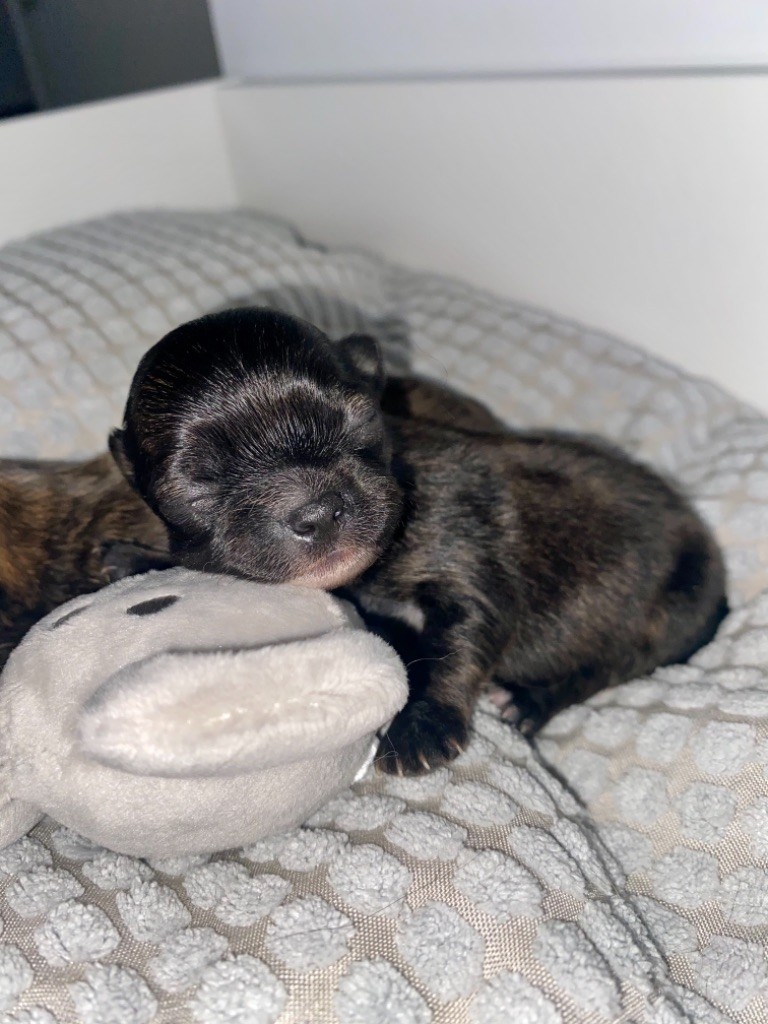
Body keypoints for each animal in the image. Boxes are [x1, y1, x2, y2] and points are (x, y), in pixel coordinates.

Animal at [111, 307, 729, 770]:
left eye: (360, 422)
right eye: (199, 483)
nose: (318, 510)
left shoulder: (467, 562)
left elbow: (458, 642)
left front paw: (423, 726)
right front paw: (135, 559)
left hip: (664, 615)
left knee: (601, 669)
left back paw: (527, 702)